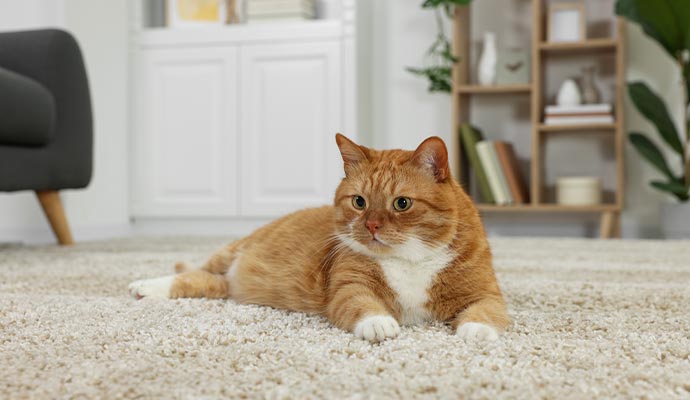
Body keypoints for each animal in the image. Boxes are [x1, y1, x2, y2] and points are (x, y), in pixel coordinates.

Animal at [129, 134, 508, 340]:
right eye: (359, 202)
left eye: (402, 203)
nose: (371, 225)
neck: (408, 260)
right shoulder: (348, 286)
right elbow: (362, 303)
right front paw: (379, 323)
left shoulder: (485, 292)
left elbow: (487, 310)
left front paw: (476, 329)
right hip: (228, 252)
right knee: (191, 273)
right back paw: (145, 286)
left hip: (225, 285)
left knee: (202, 281)